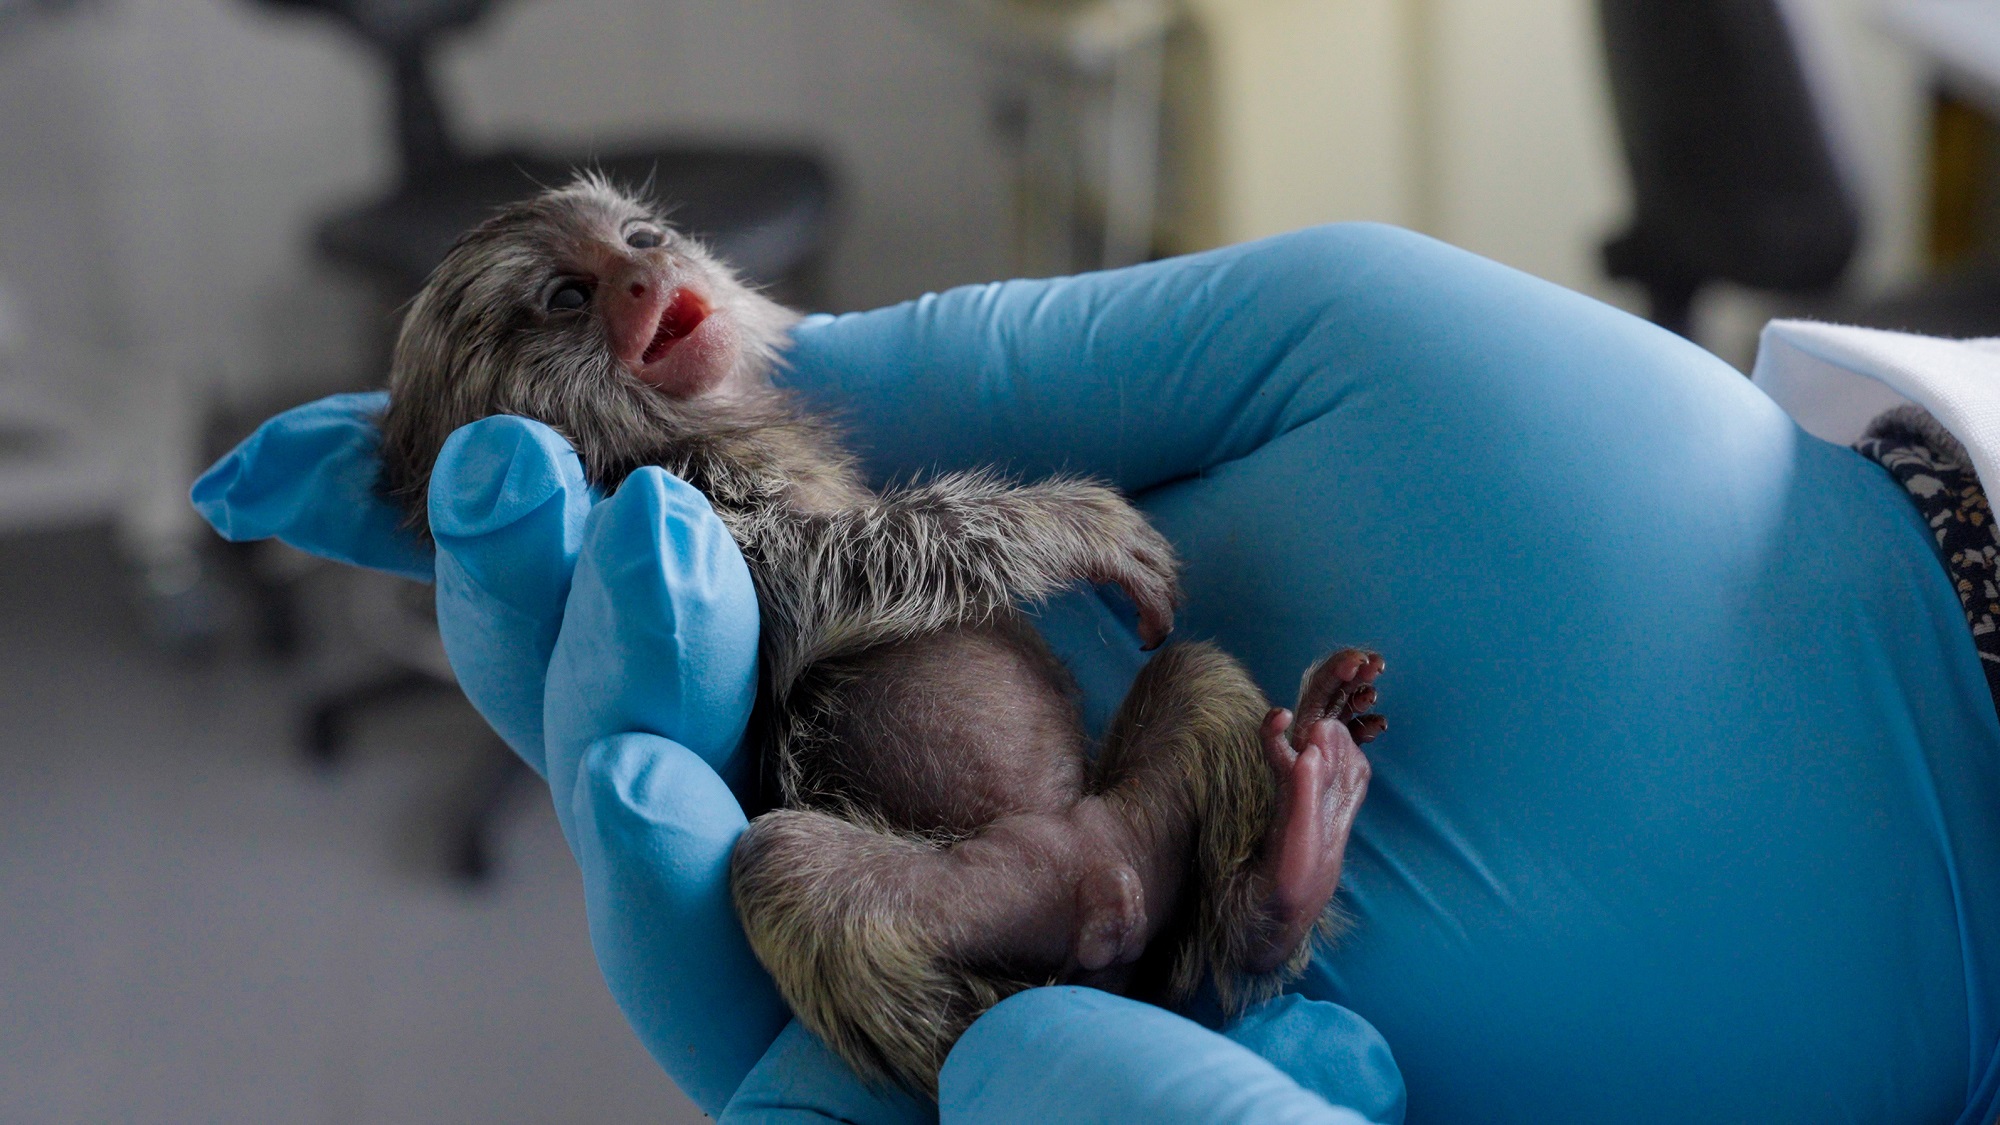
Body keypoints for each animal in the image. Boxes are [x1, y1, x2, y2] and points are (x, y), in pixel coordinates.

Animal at [376, 174, 1389, 1097]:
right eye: (569, 296)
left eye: (640, 237)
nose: (647, 272)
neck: (688, 424)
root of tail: (1098, 881)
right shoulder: (667, 496)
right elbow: (824, 578)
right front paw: (1072, 524)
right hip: (984, 898)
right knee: (787, 869)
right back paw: (995, 1035)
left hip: (1127, 830)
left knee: (1195, 675)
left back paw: (1288, 864)